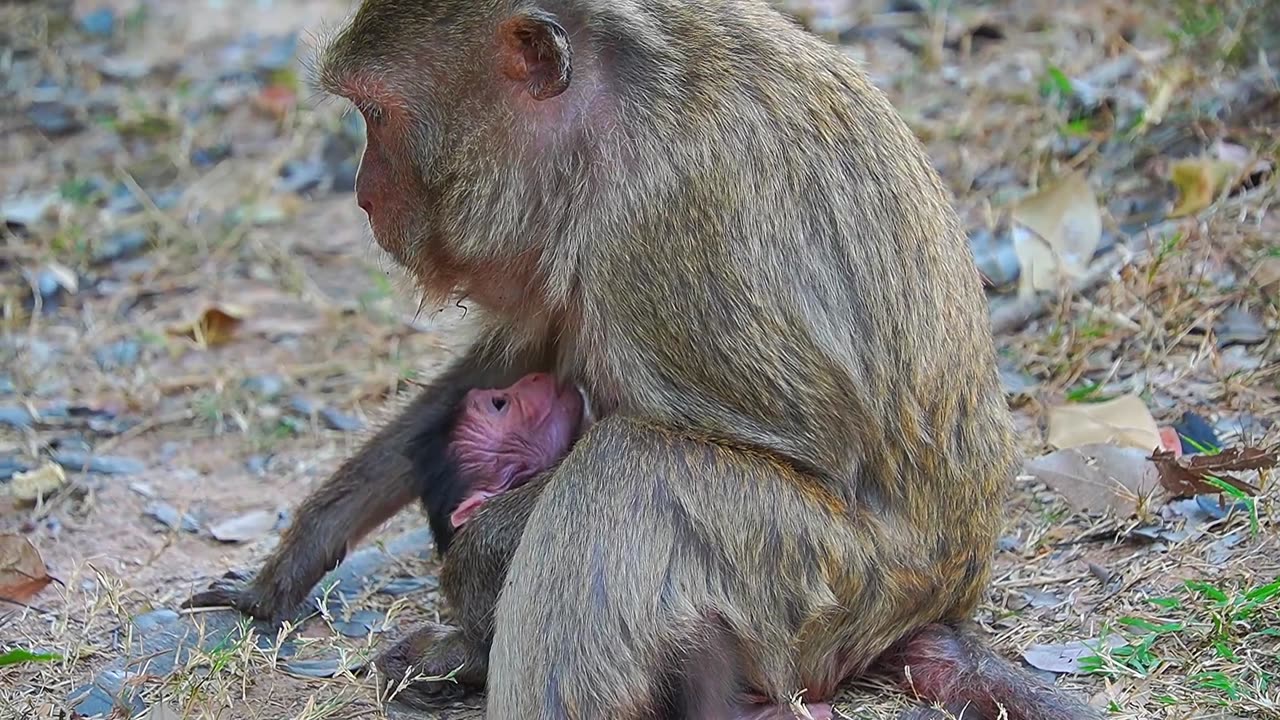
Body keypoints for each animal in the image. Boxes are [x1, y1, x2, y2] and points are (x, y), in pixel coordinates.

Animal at [186, 1, 1100, 717]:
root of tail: (946, 597)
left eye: (377, 115)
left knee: (629, 470)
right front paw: (293, 561)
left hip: (836, 586)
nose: (363, 196)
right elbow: (510, 357)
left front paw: (473, 575)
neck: (609, 107)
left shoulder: (660, 227)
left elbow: (801, 448)